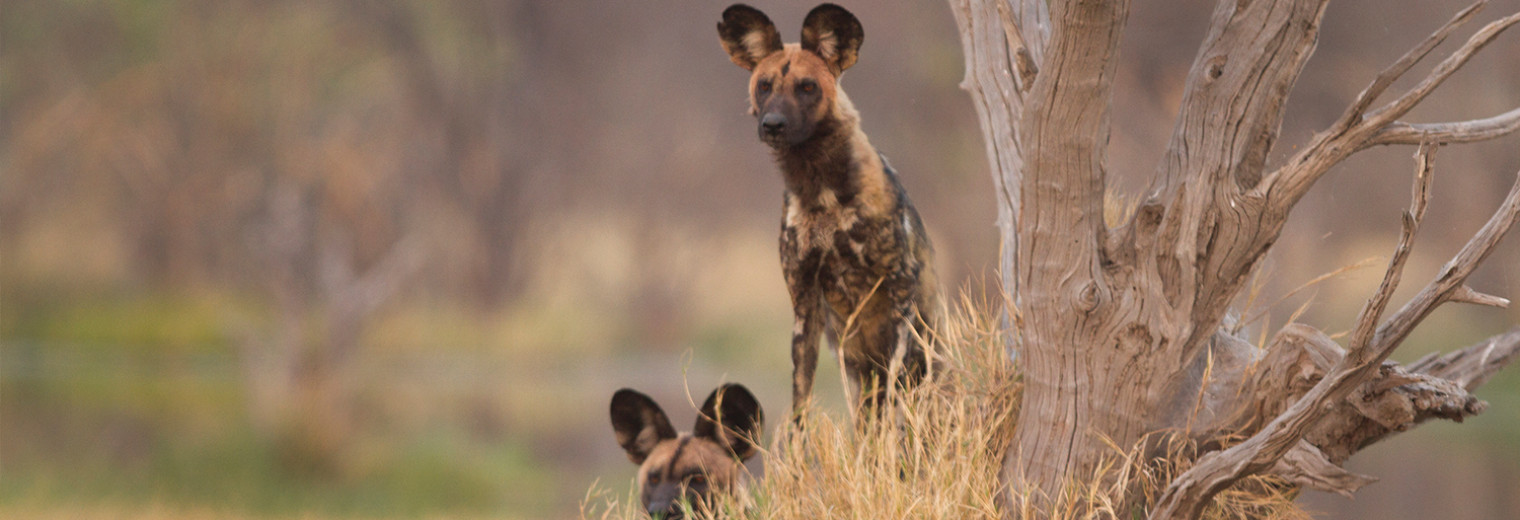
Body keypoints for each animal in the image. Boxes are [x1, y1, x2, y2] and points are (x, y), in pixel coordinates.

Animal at [717, 3, 942, 419]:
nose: (773, 125)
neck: (820, 189)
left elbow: (894, 394)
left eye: (807, 87)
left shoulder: (900, 288)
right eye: (764, 85)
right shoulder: (804, 305)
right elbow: (799, 406)